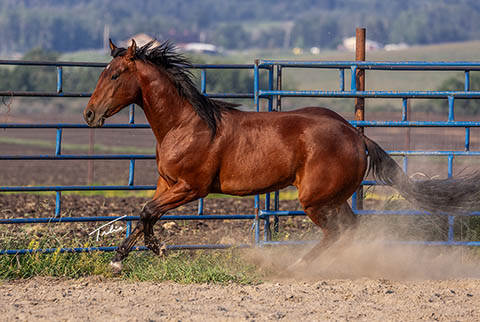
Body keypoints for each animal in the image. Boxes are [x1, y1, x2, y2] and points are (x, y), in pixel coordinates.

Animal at [85, 39, 480, 272]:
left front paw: (141, 256)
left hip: (315, 199)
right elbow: (144, 215)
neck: (185, 124)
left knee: (337, 232)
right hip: (332, 197)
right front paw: (134, 255)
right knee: (350, 228)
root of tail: (356, 135)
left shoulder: (191, 187)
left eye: (116, 74)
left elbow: (146, 212)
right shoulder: (165, 184)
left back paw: (298, 266)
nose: (89, 114)